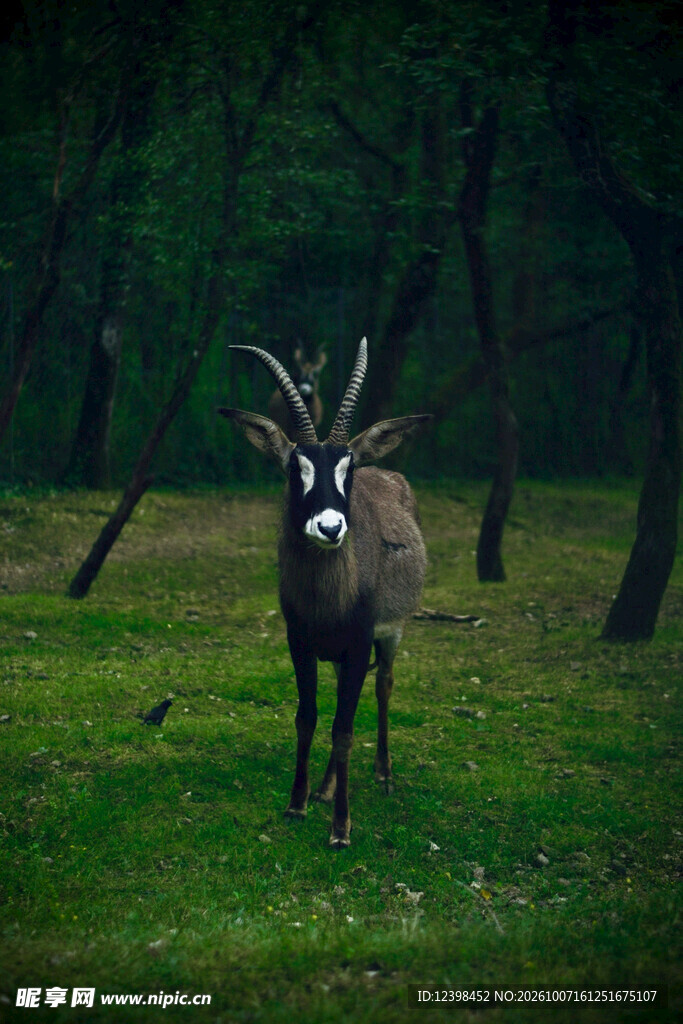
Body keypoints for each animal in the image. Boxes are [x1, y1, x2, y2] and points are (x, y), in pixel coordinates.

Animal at [219, 338, 430, 848]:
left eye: (347, 467)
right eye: (295, 466)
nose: (331, 527)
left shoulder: (358, 643)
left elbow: (345, 730)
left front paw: (340, 828)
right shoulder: (300, 642)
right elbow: (310, 718)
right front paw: (297, 802)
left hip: (390, 635)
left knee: (384, 684)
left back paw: (383, 774)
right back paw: (326, 786)